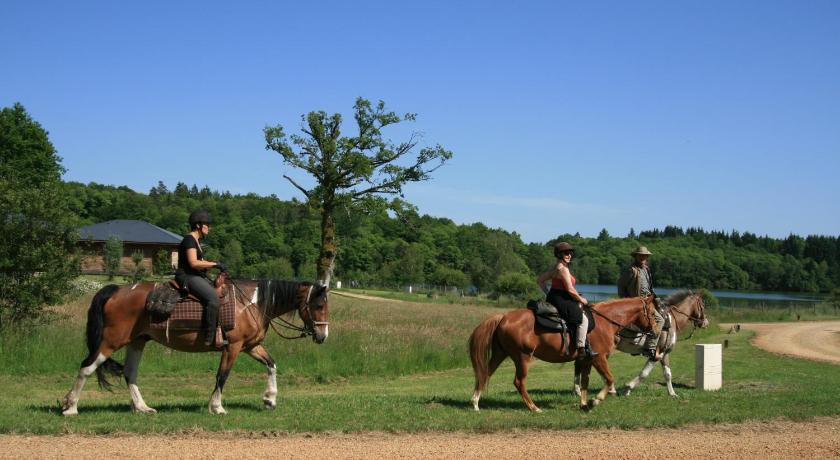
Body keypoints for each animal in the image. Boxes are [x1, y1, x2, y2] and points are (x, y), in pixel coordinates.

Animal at [59, 274, 326, 416]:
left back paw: (143, 407)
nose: (322, 336)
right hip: (111, 341)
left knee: (130, 373)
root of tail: (117, 290)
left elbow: (271, 365)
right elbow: (222, 376)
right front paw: (217, 407)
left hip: (137, 341)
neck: (252, 304)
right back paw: (70, 407)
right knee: (87, 367)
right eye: (319, 305)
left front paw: (270, 399)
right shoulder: (233, 347)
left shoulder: (251, 346)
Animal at [470, 296, 660, 412]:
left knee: (485, 373)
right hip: (522, 357)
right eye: (652, 313)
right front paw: (595, 400)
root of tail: (503, 317)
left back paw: (475, 403)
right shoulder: (599, 358)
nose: (657, 332)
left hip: (500, 354)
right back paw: (534, 407)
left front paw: (584, 404)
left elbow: (584, 383)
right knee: (519, 382)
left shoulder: (587, 360)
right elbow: (609, 379)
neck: (605, 321)